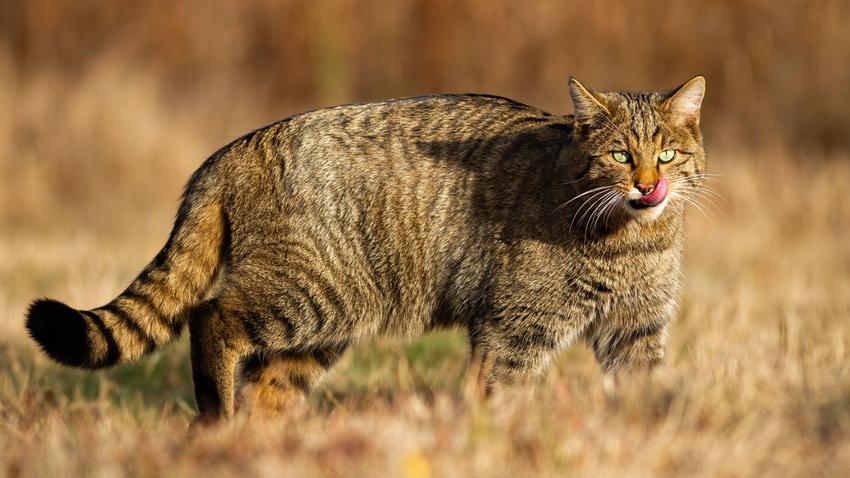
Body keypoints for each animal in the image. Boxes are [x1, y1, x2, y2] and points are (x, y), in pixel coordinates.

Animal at [24, 77, 704, 422]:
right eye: (620, 155)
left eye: (668, 153)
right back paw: (217, 416)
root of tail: (230, 150)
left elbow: (645, 390)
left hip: (324, 327)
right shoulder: (515, 328)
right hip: (313, 294)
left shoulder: (636, 329)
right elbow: (499, 395)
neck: (631, 240)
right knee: (211, 317)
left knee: (267, 386)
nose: (650, 184)